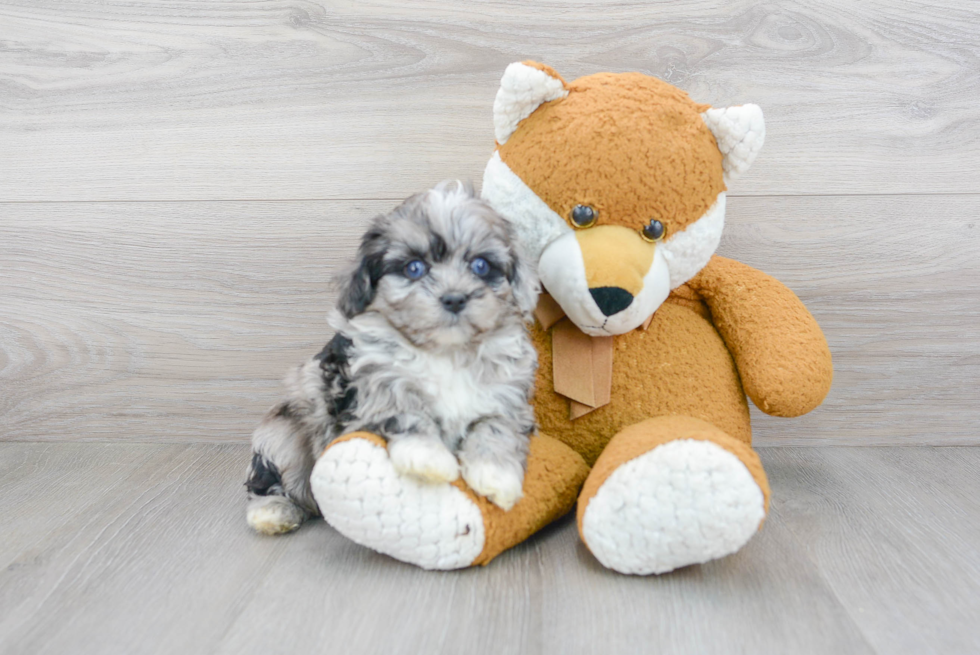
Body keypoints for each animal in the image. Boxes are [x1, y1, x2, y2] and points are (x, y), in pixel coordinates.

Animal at [243, 178, 536, 532]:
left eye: (481, 265)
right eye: (414, 268)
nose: (454, 298)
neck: (446, 352)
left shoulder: (508, 395)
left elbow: (495, 427)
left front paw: (497, 476)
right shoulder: (374, 384)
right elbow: (404, 410)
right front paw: (427, 458)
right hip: (283, 429)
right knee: (269, 478)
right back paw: (273, 512)